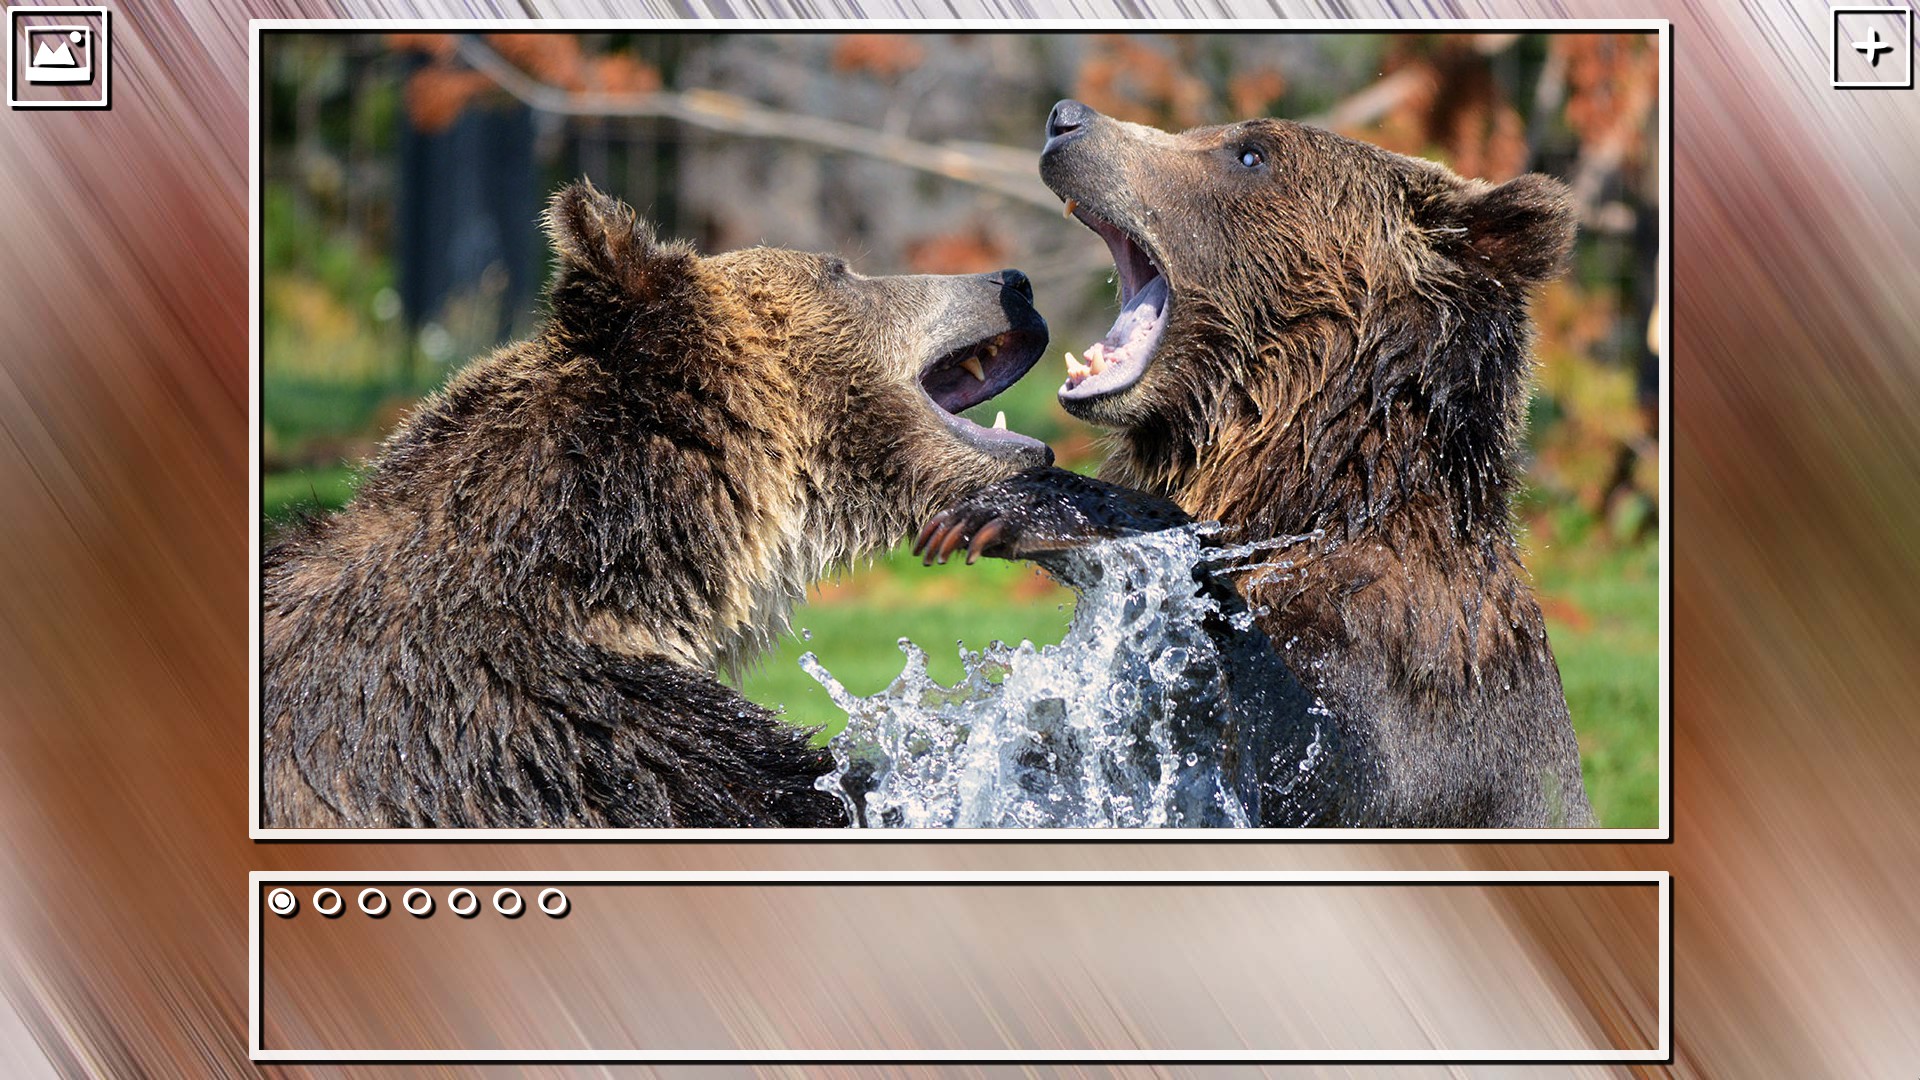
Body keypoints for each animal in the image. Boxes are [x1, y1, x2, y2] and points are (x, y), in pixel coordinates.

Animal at [918, 101, 1594, 828]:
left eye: (1250, 154)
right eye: (1203, 131)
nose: (1068, 121)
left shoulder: (1411, 675)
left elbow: (1308, 749)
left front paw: (1013, 510)